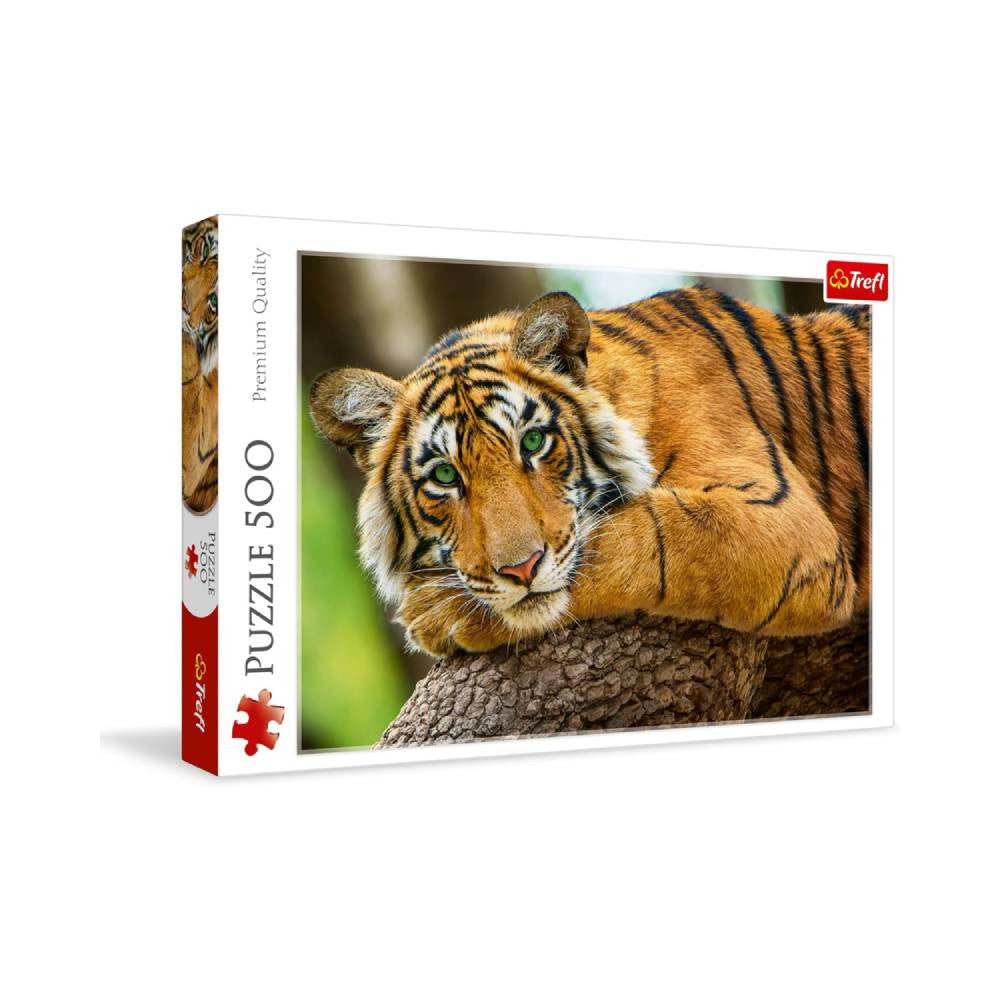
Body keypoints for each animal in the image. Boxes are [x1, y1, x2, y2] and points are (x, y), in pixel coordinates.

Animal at [309, 285, 870, 658]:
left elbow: (642, 536)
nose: (520, 570)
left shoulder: (783, 521)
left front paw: (436, 612)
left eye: (533, 442)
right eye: (446, 477)